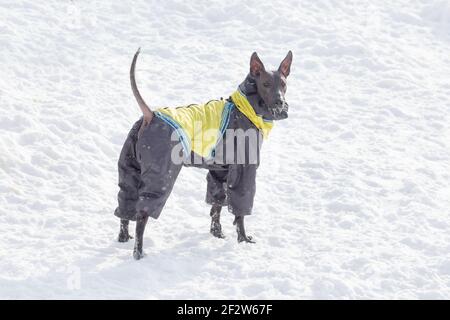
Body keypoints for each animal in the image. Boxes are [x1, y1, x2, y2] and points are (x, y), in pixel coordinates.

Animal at [114, 48, 294, 258]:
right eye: (265, 84)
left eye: (283, 84)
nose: (280, 102)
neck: (245, 108)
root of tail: (150, 116)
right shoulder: (244, 170)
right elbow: (239, 211)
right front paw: (243, 239)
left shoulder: (220, 170)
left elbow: (216, 204)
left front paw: (217, 233)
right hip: (161, 174)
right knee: (142, 215)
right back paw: (139, 252)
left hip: (129, 167)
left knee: (126, 204)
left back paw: (123, 238)